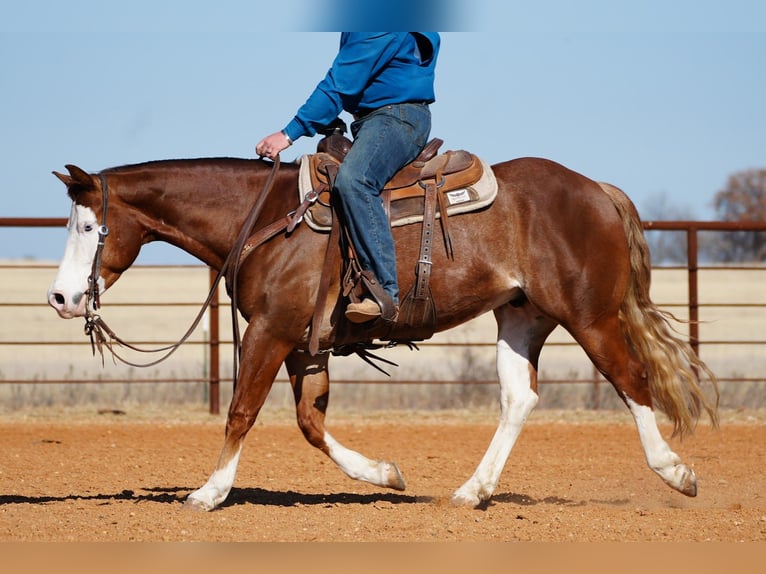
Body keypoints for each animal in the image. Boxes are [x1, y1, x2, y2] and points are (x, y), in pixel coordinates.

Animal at [47, 154, 718, 511]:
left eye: (88, 226)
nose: (61, 297)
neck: (264, 219)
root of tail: (596, 189)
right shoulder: (304, 344)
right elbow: (310, 422)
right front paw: (385, 474)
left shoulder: (270, 330)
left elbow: (242, 410)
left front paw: (209, 493)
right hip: (522, 316)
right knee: (519, 398)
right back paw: (472, 491)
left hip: (591, 317)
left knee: (632, 380)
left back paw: (677, 473)